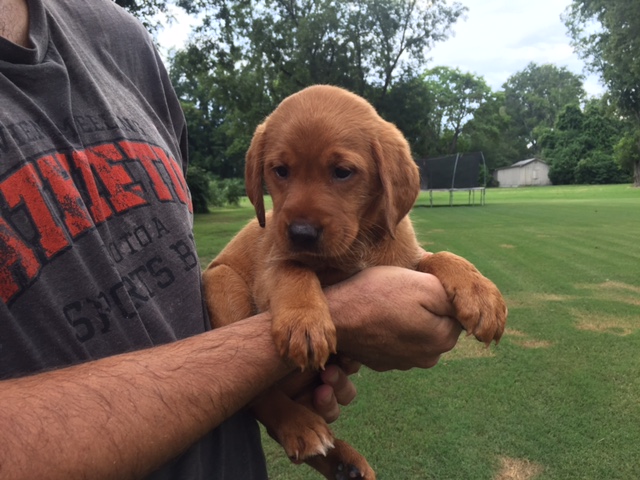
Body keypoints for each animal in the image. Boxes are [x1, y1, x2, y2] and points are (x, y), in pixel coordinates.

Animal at [202, 84, 508, 478]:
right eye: (280, 171)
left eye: (343, 172)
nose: (301, 233)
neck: (359, 240)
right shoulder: (272, 261)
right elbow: (294, 270)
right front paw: (305, 323)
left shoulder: (405, 259)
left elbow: (440, 257)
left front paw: (481, 294)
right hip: (221, 281)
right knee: (257, 397)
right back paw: (302, 426)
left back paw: (344, 462)